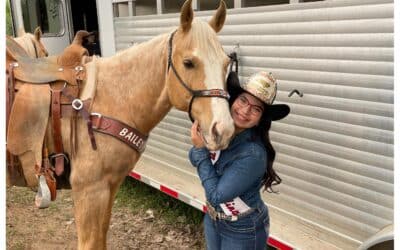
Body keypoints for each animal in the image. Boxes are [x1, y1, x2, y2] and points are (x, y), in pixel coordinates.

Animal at [7, 0, 234, 249]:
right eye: (188, 63)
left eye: (227, 63)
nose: (223, 130)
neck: (110, 99)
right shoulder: (89, 191)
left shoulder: (110, 186)